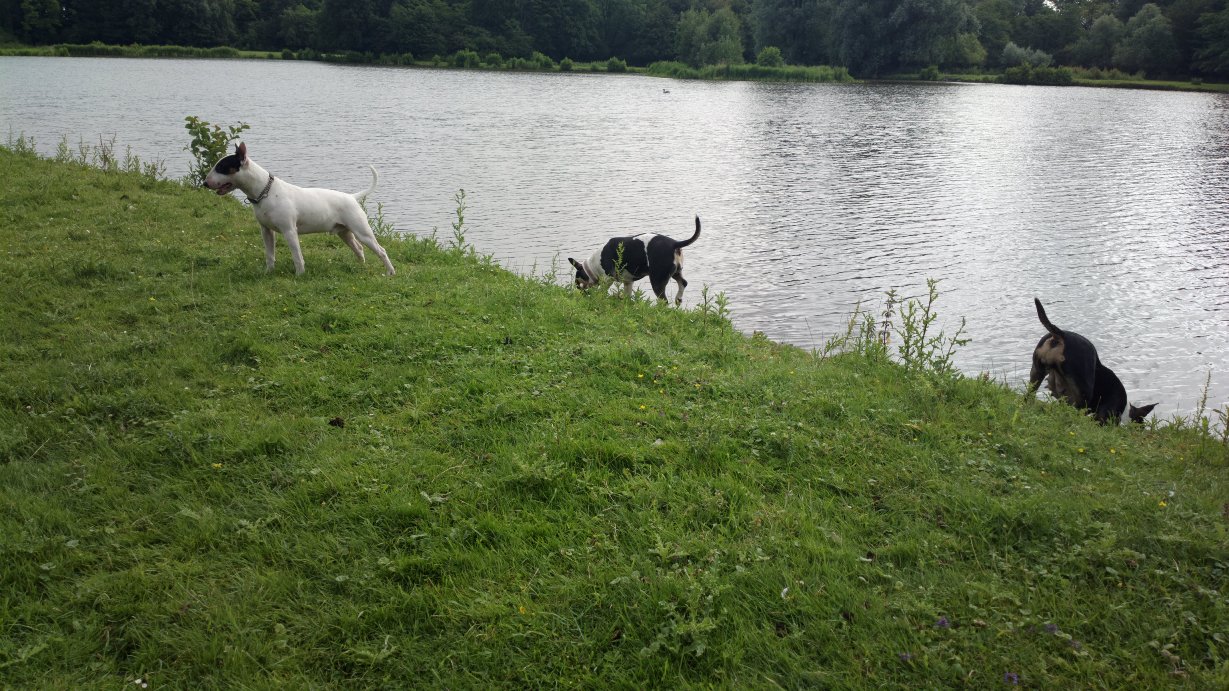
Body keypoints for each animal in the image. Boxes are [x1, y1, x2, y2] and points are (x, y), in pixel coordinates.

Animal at [204, 142, 395, 276]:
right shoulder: (266, 231)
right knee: (359, 249)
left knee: (381, 251)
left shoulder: (289, 231)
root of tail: (352, 197)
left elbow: (297, 256)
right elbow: (269, 254)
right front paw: (268, 272)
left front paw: (300, 275)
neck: (265, 191)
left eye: (221, 167)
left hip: (362, 231)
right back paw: (360, 266)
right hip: (344, 232)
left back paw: (390, 272)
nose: (205, 183)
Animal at [568, 216, 700, 305]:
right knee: (683, 283)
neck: (593, 266)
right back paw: (678, 299)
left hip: (657, 280)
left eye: (577, 282)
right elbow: (627, 296)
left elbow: (603, 291)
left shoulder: (608, 279)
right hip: (676, 272)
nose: (578, 293)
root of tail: (674, 244)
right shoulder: (628, 282)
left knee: (664, 301)